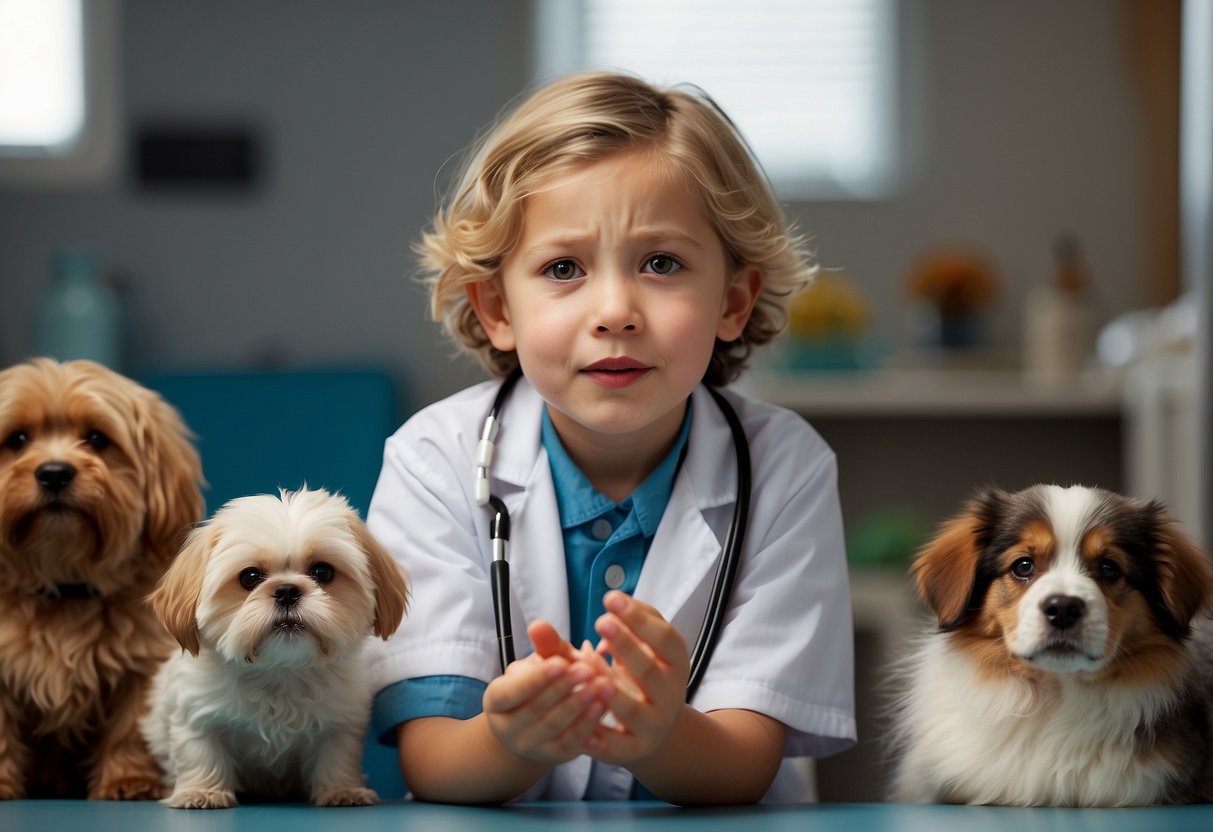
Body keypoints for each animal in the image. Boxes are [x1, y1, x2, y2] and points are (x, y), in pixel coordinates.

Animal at [0, 358, 204, 800]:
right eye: (17, 439)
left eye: (97, 438)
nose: (54, 473)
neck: (64, 585)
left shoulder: (142, 665)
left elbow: (132, 725)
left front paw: (130, 779)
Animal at [143, 489, 409, 810]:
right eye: (250, 577)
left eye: (323, 572)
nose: (287, 591)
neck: (280, 672)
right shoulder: (196, 713)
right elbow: (201, 752)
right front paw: (202, 791)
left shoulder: (340, 722)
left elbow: (337, 756)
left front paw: (342, 790)